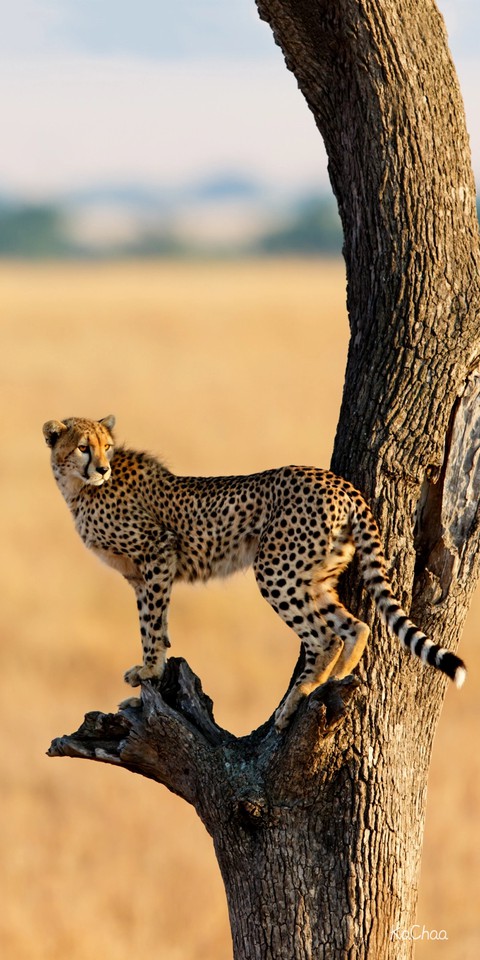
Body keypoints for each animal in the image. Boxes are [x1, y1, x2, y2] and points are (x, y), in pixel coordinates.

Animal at [43, 415, 466, 729]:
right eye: (84, 446)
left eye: (107, 446)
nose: (102, 467)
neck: (79, 488)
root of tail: (339, 482)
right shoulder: (141, 574)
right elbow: (157, 625)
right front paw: (149, 680)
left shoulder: (158, 553)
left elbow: (151, 625)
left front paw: (148, 671)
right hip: (314, 574)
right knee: (355, 626)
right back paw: (337, 677)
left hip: (276, 569)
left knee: (325, 636)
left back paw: (298, 698)